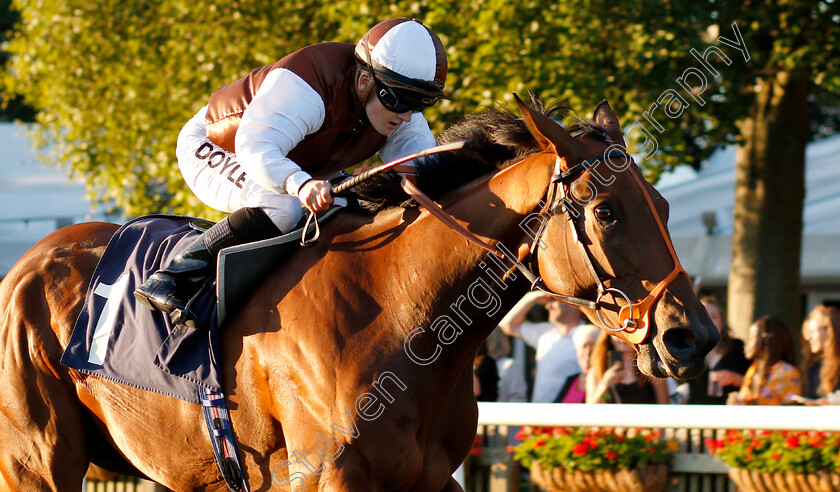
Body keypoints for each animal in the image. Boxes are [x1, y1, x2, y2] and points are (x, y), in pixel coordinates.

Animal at [0, 95, 716, 488]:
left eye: (661, 205)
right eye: (607, 212)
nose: (694, 336)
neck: (399, 321)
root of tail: (28, 263)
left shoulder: (429, 477)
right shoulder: (328, 476)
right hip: (37, 460)